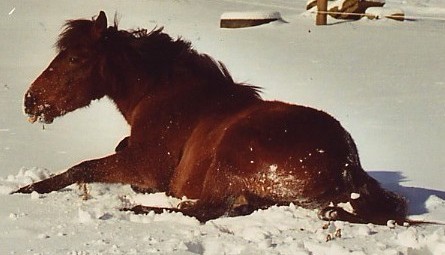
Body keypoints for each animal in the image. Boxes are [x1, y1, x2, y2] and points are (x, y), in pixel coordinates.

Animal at [14, 10, 406, 224]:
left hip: (229, 157)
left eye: (74, 58)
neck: (162, 97)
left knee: (209, 208)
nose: (30, 101)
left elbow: (79, 168)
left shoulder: (143, 167)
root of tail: (346, 163)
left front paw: (27, 189)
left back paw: (140, 208)